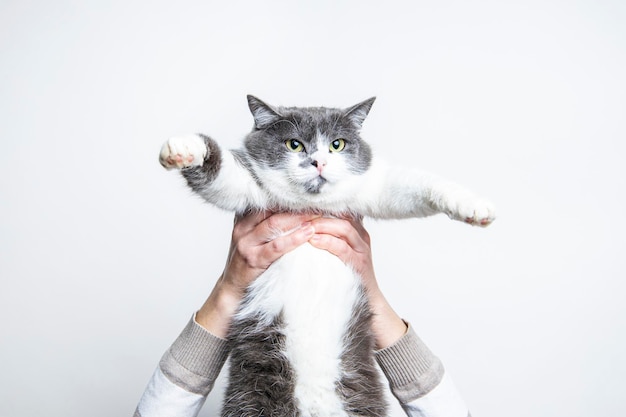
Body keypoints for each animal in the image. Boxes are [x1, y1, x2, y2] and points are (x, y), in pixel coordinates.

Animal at [158, 95, 494, 416]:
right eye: (294, 144)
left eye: (337, 144)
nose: (318, 162)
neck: (310, 206)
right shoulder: (250, 187)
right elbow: (220, 176)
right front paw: (182, 148)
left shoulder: (370, 187)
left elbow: (413, 185)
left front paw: (474, 206)